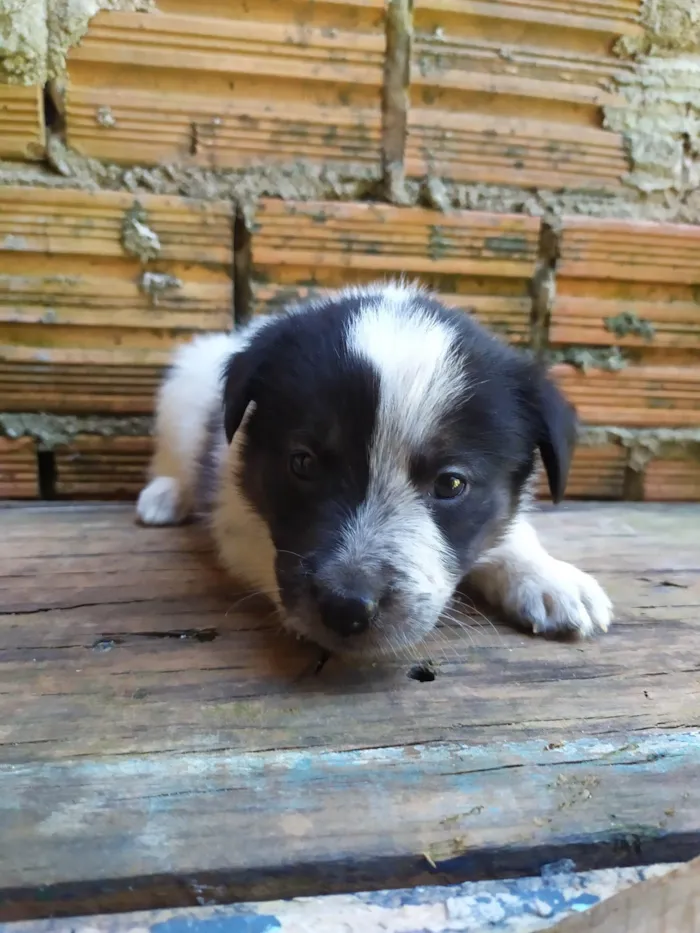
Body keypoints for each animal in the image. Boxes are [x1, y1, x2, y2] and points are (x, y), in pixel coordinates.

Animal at [137, 284, 612, 656]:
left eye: (451, 483)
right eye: (303, 463)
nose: (346, 608)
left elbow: (509, 531)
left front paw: (547, 577)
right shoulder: (233, 513)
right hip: (180, 395)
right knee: (170, 459)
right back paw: (164, 495)